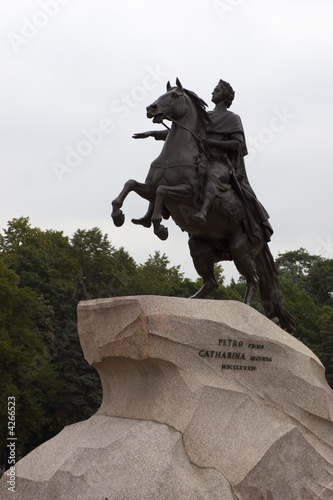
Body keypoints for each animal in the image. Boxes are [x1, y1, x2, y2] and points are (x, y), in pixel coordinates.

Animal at [112, 80, 296, 334]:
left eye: (175, 95)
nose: (151, 108)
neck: (176, 155)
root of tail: (263, 232)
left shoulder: (187, 193)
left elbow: (162, 192)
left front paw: (160, 227)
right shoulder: (148, 186)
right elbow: (130, 184)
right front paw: (119, 215)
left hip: (240, 250)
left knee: (253, 280)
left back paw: (247, 310)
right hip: (198, 248)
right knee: (211, 282)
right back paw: (191, 303)